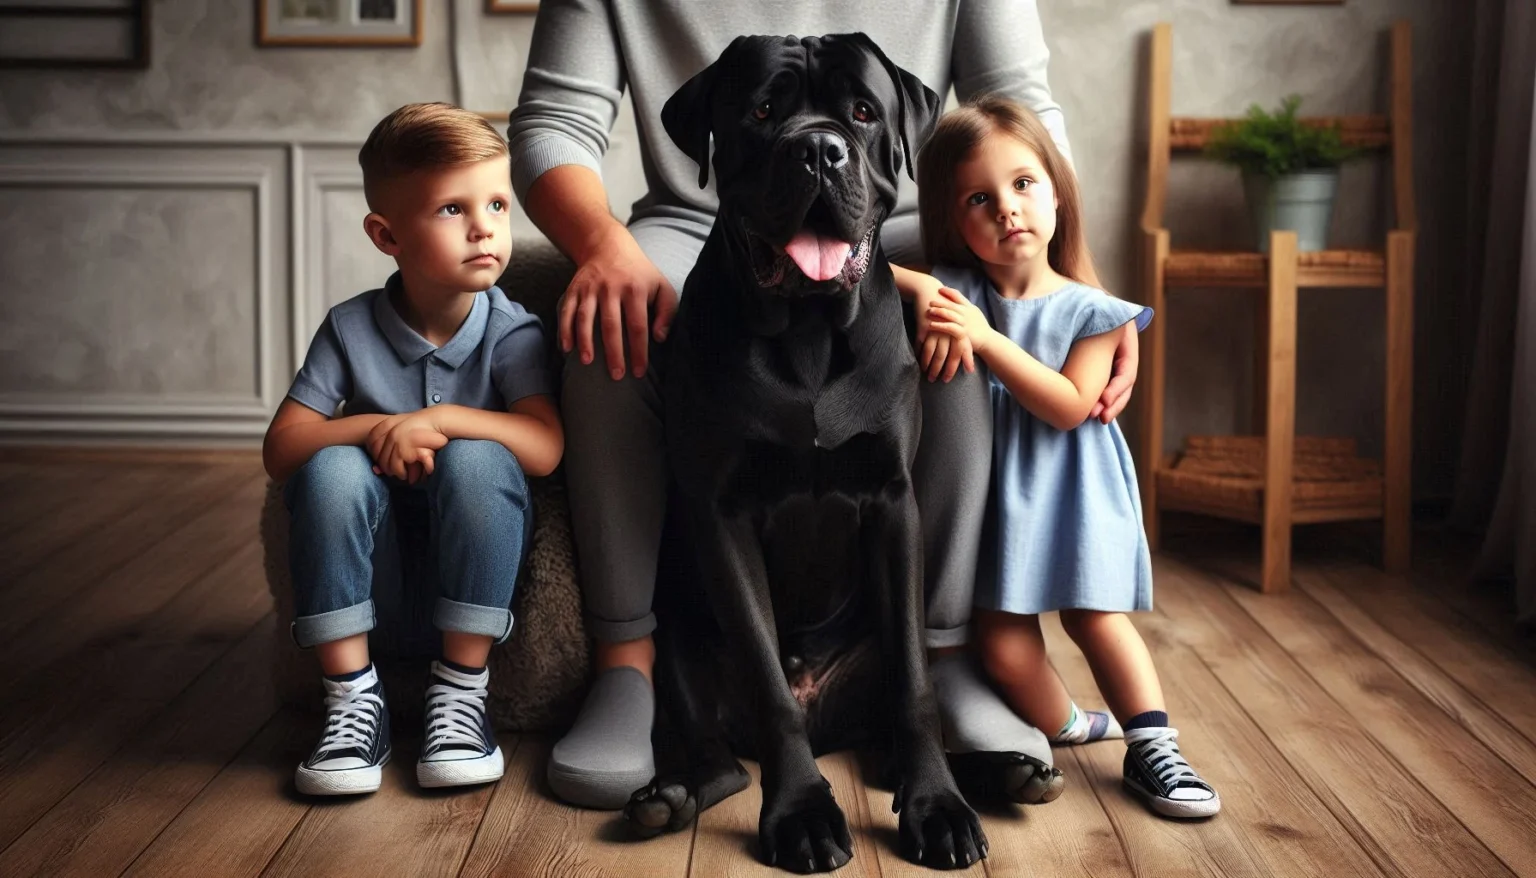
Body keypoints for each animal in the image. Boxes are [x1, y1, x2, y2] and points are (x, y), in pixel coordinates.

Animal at [617, 32, 1013, 871]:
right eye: (763, 110)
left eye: (862, 111)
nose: (819, 149)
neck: (806, 331)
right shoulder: (723, 514)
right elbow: (767, 683)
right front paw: (800, 811)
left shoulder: (893, 502)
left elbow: (915, 687)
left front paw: (937, 807)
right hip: (683, 642)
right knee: (723, 763)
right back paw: (668, 798)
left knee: (889, 738)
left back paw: (1007, 771)